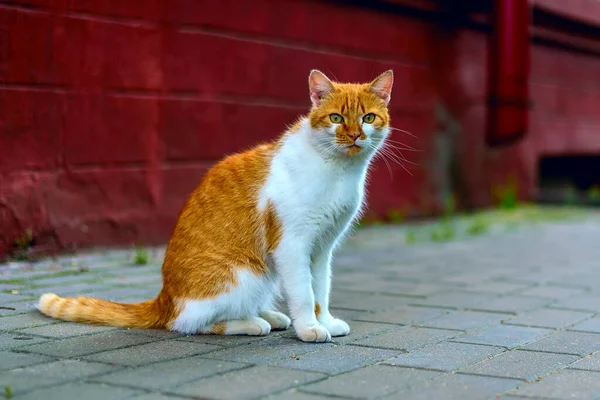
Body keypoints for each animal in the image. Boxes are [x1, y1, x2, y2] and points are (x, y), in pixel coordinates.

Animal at [37, 68, 394, 340]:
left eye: (368, 117)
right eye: (336, 118)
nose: (354, 136)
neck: (338, 170)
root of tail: (165, 298)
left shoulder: (321, 248)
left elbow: (320, 289)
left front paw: (326, 321)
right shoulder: (293, 244)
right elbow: (304, 294)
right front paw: (310, 328)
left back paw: (270, 315)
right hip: (247, 274)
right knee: (189, 322)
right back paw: (252, 323)